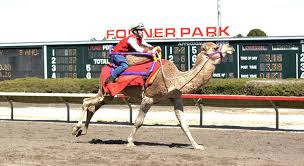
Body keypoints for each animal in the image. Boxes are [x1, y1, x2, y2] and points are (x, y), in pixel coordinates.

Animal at [72, 41, 235, 150]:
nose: (231, 47)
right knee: (86, 102)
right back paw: (76, 128)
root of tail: (104, 68)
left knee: (93, 105)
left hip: (108, 95)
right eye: (215, 47)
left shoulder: (176, 97)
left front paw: (196, 146)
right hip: (105, 90)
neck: (174, 79)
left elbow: (184, 124)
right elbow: (138, 122)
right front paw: (130, 142)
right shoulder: (148, 98)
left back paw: (82, 131)